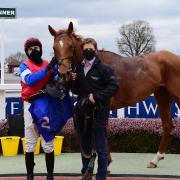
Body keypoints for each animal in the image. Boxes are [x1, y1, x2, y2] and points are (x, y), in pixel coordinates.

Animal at [47, 21, 180, 168]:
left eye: (70, 46)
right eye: (54, 47)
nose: (64, 73)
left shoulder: (103, 105)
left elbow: (101, 130)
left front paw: (106, 161)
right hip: (162, 95)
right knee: (167, 125)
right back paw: (155, 159)